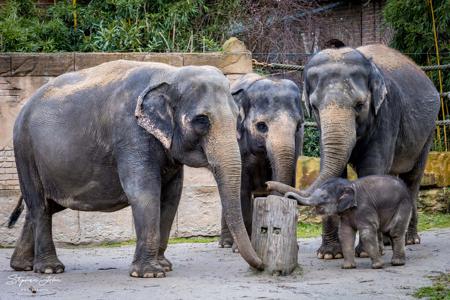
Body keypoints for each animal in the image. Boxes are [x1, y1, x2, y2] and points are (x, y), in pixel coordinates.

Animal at [7, 59, 264, 278]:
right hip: (25, 150)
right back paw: (49, 269)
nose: (261, 264)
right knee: (39, 205)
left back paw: (22, 266)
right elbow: (144, 191)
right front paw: (149, 273)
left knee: (43, 206)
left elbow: (172, 196)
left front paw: (163, 266)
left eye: (237, 117)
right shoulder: (131, 133)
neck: (169, 74)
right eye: (202, 120)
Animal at [268, 45, 440, 260]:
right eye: (314, 107)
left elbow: (372, 167)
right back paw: (387, 240)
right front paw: (329, 254)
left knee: (412, 178)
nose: (268, 185)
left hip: (428, 132)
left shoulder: (387, 113)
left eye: (360, 105)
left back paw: (410, 240)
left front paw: (366, 252)